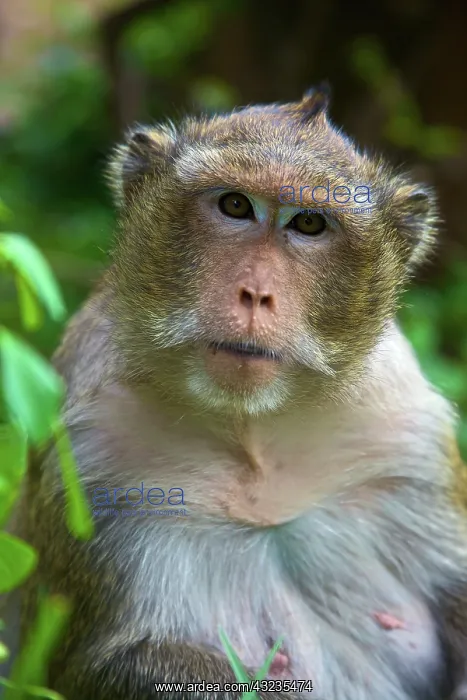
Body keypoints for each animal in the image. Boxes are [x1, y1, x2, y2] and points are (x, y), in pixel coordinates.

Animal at [9, 85, 467, 700]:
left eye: (310, 223)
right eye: (234, 206)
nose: (255, 293)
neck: (255, 435)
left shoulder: (409, 432)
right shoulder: (89, 456)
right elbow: (98, 665)